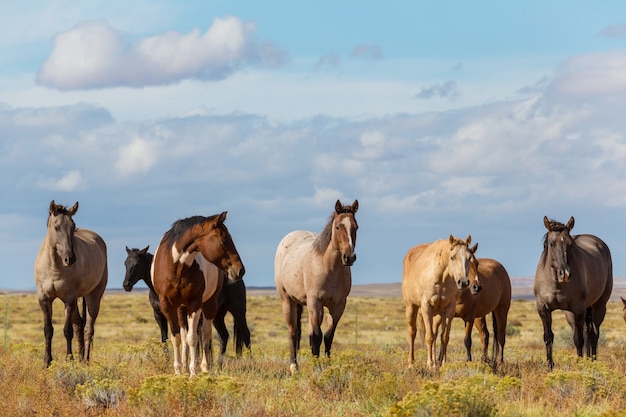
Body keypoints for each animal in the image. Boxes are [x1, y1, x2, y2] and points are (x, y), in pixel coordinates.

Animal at [33, 200, 107, 366]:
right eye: (56, 227)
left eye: (73, 226)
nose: (70, 259)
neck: (54, 266)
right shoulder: (44, 299)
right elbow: (48, 330)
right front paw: (47, 361)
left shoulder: (69, 299)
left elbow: (67, 330)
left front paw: (69, 359)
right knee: (79, 325)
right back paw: (80, 358)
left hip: (93, 297)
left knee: (88, 329)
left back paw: (85, 360)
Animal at [151, 213, 244, 376]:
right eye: (224, 239)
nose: (240, 270)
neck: (177, 267)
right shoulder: (167, 305)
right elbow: (177, 338)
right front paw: (179, 371)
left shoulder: (194, 303)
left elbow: (193, 338)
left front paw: (193, 373)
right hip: (181, 308)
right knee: (185, 335)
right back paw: (185, 366)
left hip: (210, 305)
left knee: (205, 334)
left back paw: (205, 367)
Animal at [272, 200, 356, 372]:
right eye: (338, 227)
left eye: (356, 227)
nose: (349, 257)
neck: (329, 267)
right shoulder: (315, 302)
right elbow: (317, 336)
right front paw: (317, 368)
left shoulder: (338, 306)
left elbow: (328, 336)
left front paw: (327, 366)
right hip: (288, 301)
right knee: (293, 332)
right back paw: (294, 367)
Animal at [402, 236, 476, 368]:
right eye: (452, 257)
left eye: (469, 257)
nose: (463, 282)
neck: (441, 278)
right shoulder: (426, 307)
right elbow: (429, 337)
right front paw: (431, 365)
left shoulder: (449, 309)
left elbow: (444, 337)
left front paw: (441, 363)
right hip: (411, 307)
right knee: (412, 333)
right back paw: (411, 362)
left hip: (438, 314)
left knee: (436, 334)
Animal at [532, 216, 612, 368]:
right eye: (551, 244)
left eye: (570, 245)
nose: (565, 274)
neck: (557, 284)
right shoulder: (543, 309)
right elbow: (548, 337)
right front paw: (550, 366)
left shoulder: (578, 309)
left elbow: (578, 339)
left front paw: (579, 364)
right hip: (571, 314)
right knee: (587, 331)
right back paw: (588, 359)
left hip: (599, 306)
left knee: (593, 334)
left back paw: (593, 361)